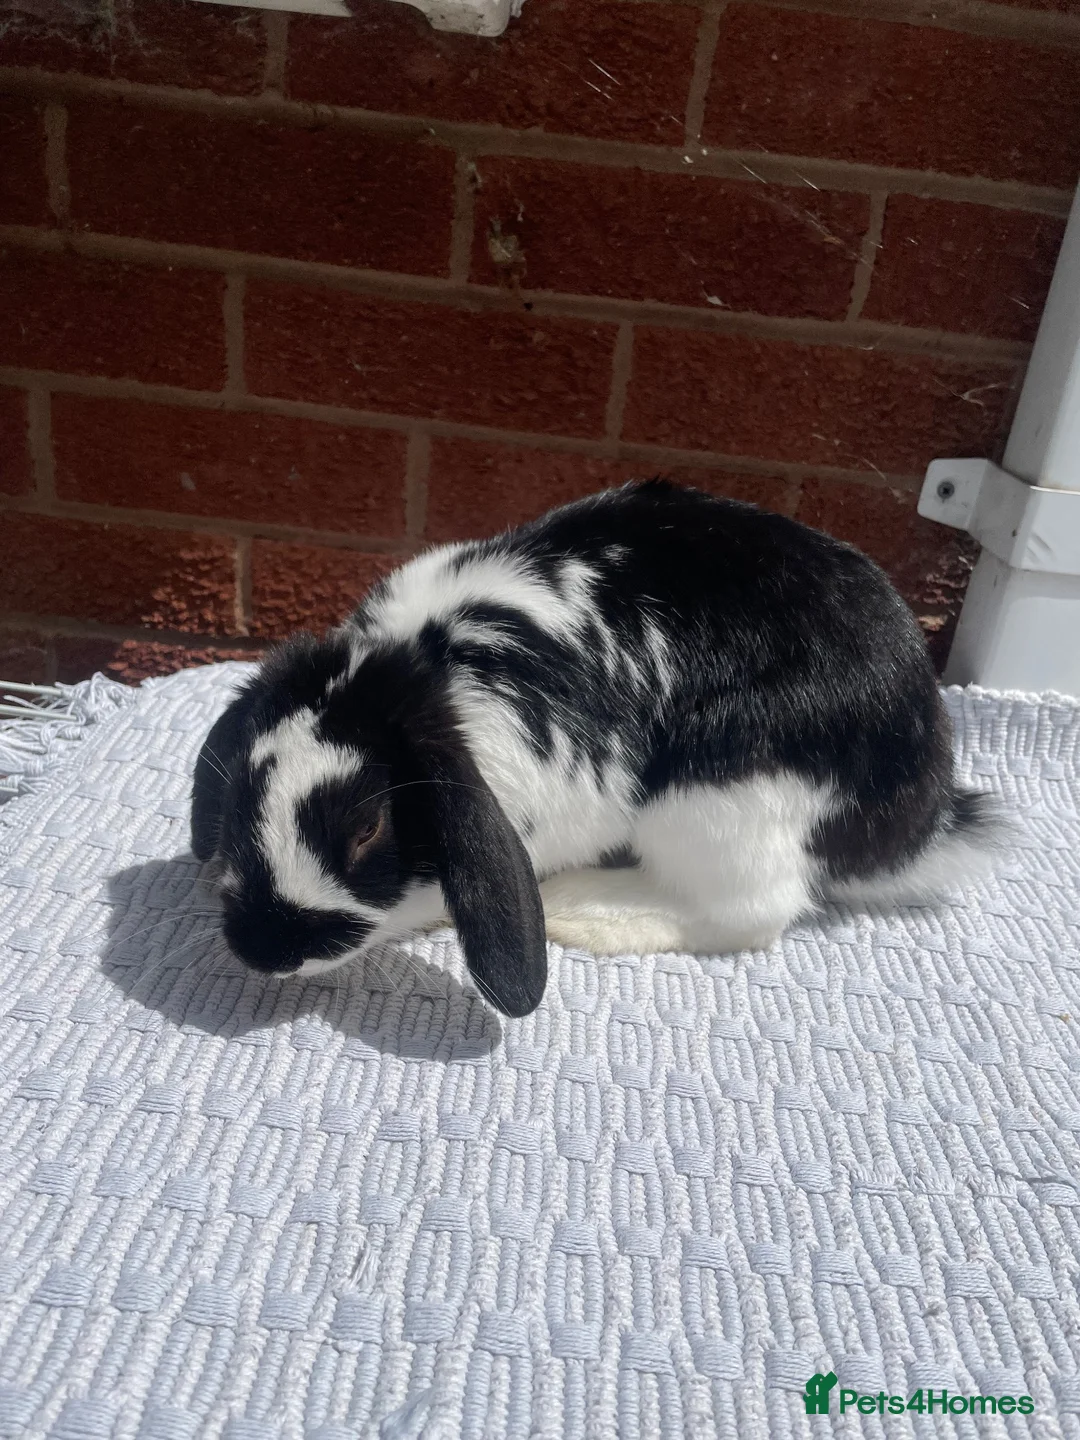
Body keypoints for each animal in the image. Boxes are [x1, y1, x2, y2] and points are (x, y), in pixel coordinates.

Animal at [191, 479, 1000, 1017]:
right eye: (239, 795)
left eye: (367, 828)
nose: (265, 947)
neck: (415, 671)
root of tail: (919, 818)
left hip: (717, 803)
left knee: (747, 911)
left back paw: (581, 908)